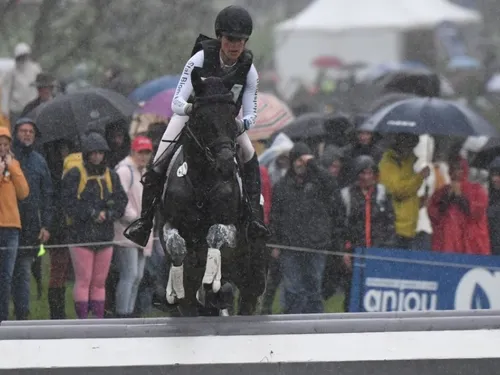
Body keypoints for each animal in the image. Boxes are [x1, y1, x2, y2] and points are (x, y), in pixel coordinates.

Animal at [158, 68, 268, 318]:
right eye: (201, 117)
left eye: (232, 116)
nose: (226, 164)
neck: (201, 183)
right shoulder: (168, 224)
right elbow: (176, 246)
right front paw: (175, 287)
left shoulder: (232, 229)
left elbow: (216, 234)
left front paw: (212, 278)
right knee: (193, 305)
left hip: (253, 277)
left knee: (248, 298)